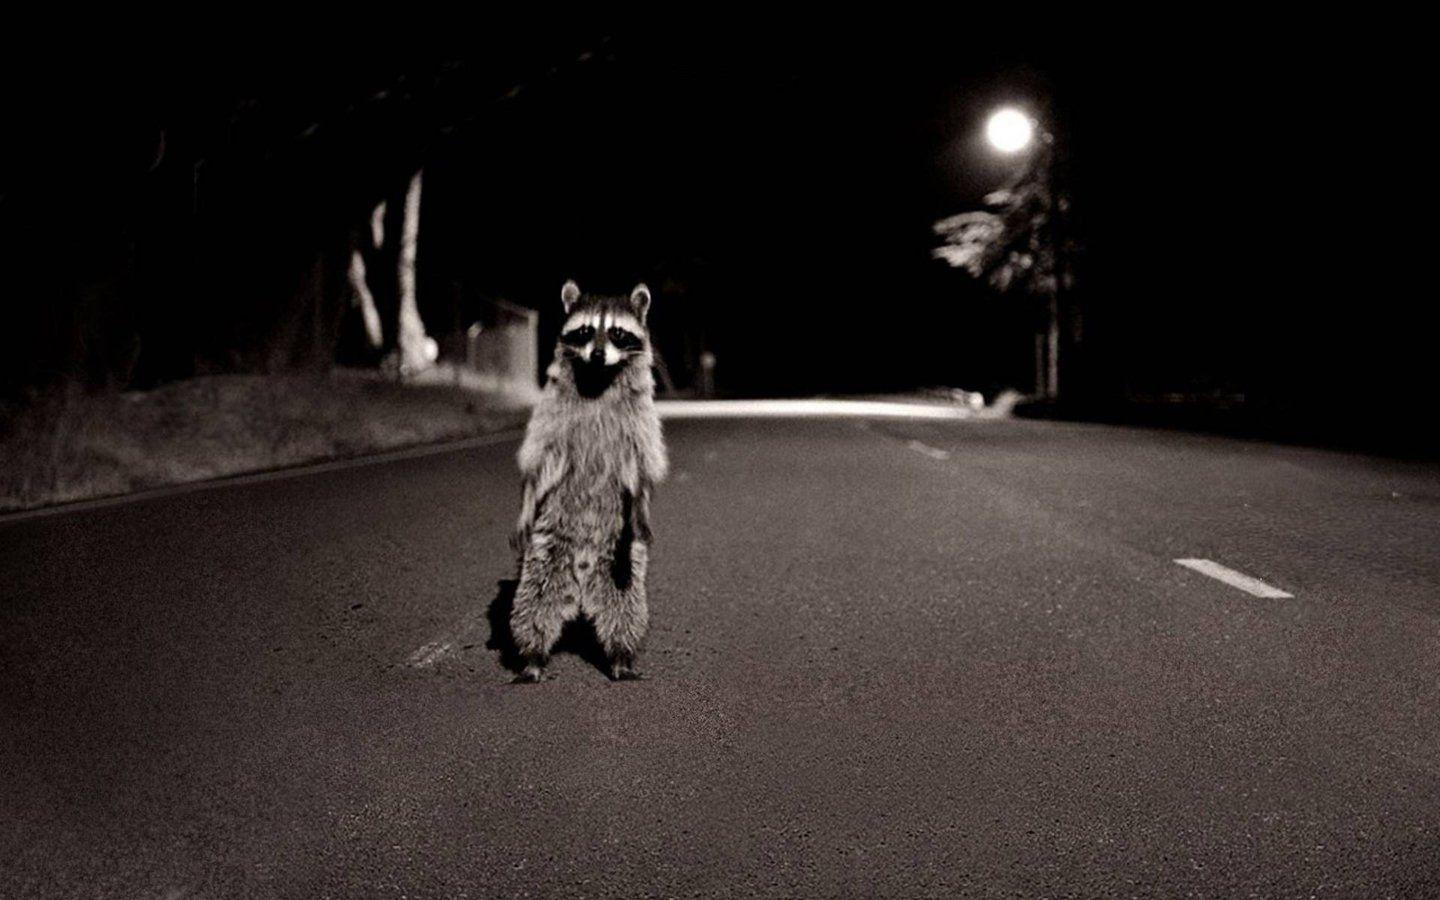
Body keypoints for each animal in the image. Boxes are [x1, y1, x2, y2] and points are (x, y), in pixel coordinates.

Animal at [509, 279, 668, 682]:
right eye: (584, 331)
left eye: (616, 332)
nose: (597, 354)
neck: (598, 378)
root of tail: (581, 575)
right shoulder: (551, 409)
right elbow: (539, 457)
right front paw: (527, 500)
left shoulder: (641, 418)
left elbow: (642, 463)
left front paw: (643, 502)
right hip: (548, 546)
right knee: (534, 603)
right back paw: (533, 655)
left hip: (621, 556)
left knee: (626, 608)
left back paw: (621, 654)